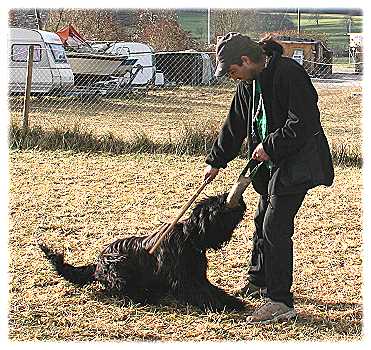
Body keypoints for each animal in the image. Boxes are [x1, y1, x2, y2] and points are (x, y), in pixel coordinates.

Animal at [40, 194, 247, 312]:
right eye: (219, 204)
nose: (241, 199)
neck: (190, 237)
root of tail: (97, 263)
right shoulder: (184, 280)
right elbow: (202, 294)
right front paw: (222, 305)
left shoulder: (198, 277)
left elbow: (212, 290)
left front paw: (231, 300)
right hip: (118, 266)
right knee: (118, 290)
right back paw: (146, 296)